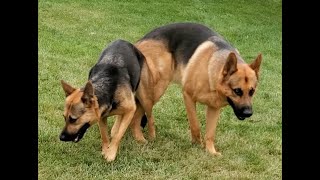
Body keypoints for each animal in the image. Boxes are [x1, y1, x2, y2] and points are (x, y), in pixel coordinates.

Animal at [130, 22, 262, 155]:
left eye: (252, 91)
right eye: (237, 91)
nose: (248, 113)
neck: (211, 70)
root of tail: (139, 42)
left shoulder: (214, 108)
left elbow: (210, 133)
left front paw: (210, 151)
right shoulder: (188, 96)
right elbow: (195, 125)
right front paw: (197, 145)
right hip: (155, 90)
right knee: (138, 117)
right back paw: (143, 139)